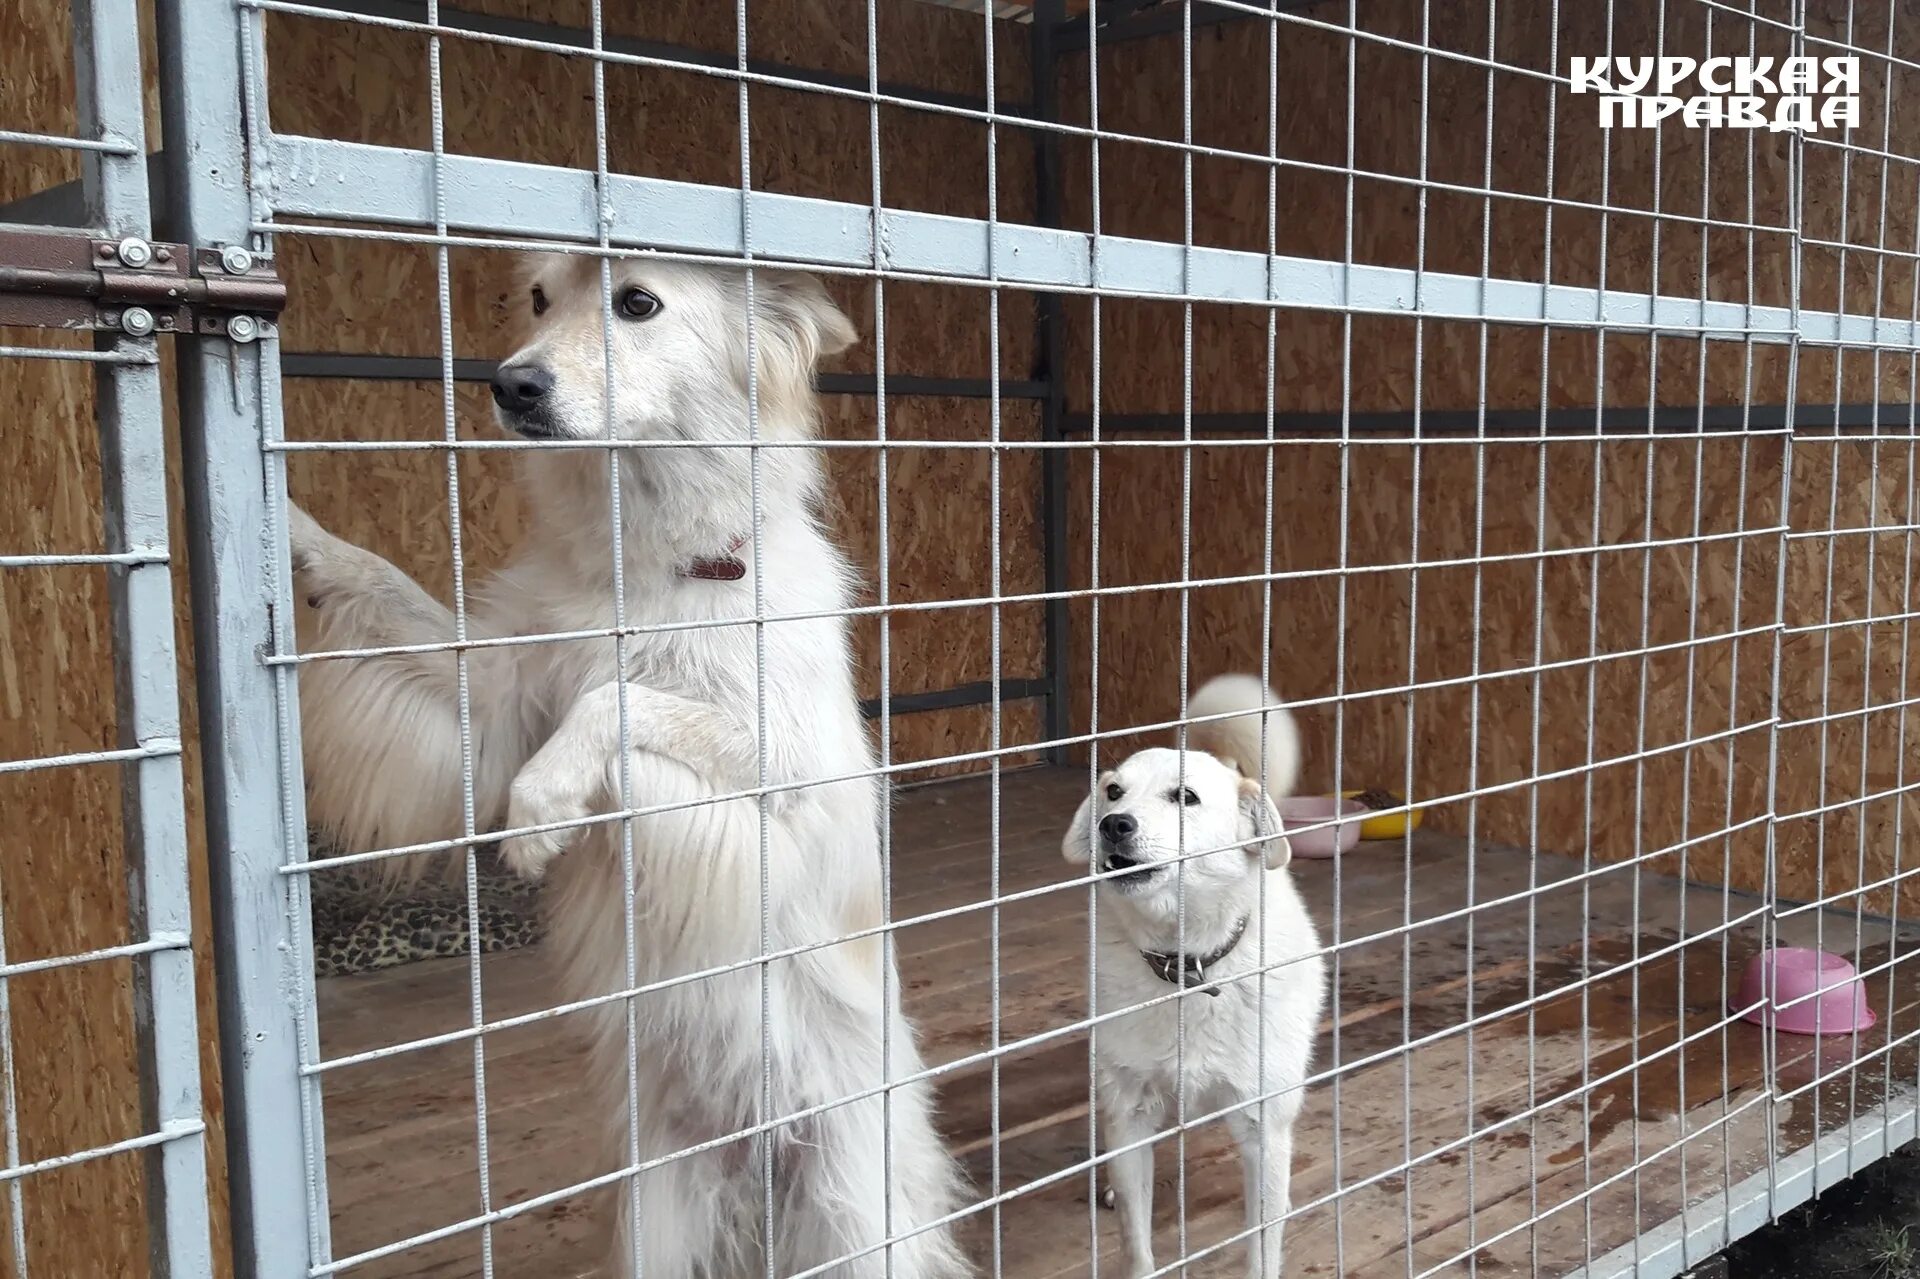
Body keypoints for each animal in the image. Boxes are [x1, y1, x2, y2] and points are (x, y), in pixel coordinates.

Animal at [282, 253, 967, 1267]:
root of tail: (757, 1155)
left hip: (854, 1211)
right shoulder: (490, 707)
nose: (509, 385)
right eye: (537, 300)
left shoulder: (783, 785)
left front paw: (541, 811)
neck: (654, 561)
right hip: (657, 1216)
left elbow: (619, 701)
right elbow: (383, 580)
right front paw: (293, 529)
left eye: (637, 302)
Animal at [1059, 672, 1328, 1267]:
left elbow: (1262, 1247)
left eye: (1185, 797)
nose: (1113, 825)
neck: (1186, 968)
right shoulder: (1129, 1116)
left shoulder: (1262, 1128)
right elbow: (1137, 1244)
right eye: (1114, 791)